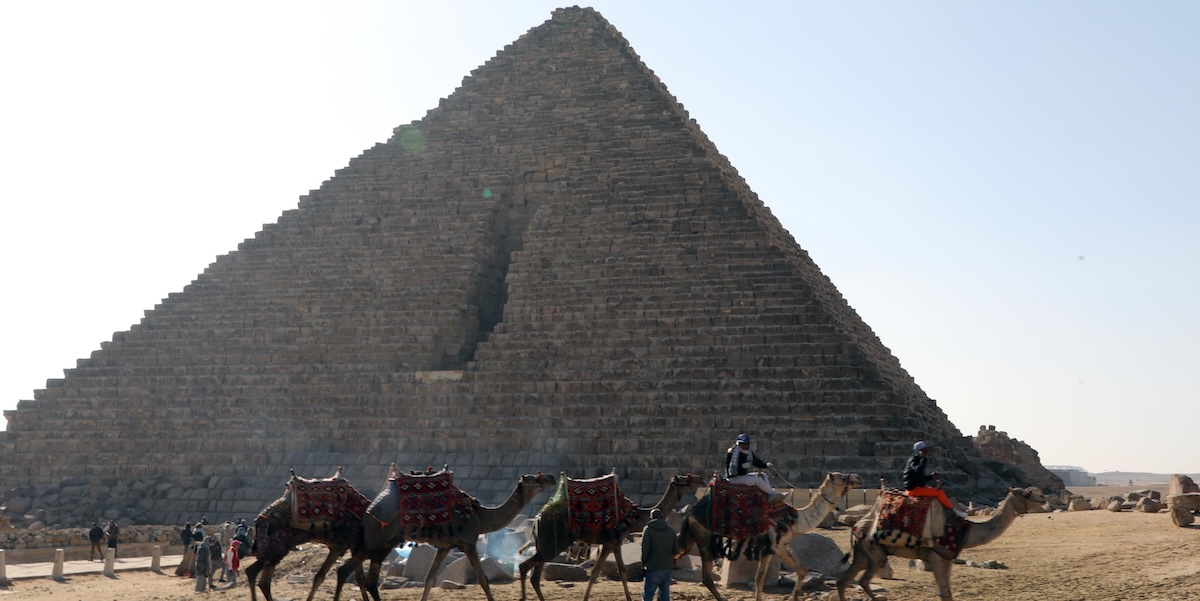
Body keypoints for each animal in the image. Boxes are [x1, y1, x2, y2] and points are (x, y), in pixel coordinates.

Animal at [243, 465, 374, 599]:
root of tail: (259, 521)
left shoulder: (338, 546)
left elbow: (320, 576)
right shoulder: (353, 543)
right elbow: (359, 577)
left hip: (273, 550)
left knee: (255, 574)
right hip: (275, 546)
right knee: (261, 579)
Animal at [333, 465, 556, 599]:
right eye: (535, 478)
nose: (552, 477)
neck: (482, 516)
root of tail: (368, 513)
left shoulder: (445, 546)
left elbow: (429, 578)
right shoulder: (469, 542)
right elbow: (483, 579)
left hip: (379, 543)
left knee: (361, 576)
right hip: (378, 540)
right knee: (350, 572)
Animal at [520, 470, 705, 599]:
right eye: (684, 478)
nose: (701, 479)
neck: (634, 517)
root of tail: (537, 520)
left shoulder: (609, 543)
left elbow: (598, 572)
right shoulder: (613, 541)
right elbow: (619, 571)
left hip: (546, 546)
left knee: (534, 575)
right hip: (552, 545)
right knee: (525, 567)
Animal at [676, 467, 864, 599]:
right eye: (841, 477)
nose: (858, 478)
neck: (797, 519)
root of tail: (690, 513)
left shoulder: (770, 548)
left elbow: (762, 578)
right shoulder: (776, 544)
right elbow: (798, 571)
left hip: (694, 536)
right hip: (704, 536)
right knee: (706, 577)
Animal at [840, 484, 1046, 597]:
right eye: (1024, 493)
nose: (1043, 497)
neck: (967, 531)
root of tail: (857, 524)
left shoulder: (947, 560)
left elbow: (948, 593)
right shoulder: (936, 558)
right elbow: (945, 593)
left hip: (863, 552)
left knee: (848, 579)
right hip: (873, 551)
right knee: (862, 579)